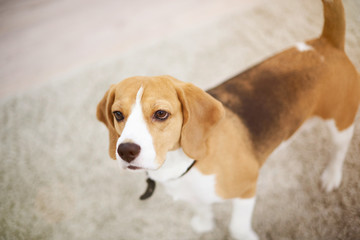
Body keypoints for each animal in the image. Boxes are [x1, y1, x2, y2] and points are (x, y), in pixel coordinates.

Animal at [97, 0, 358, 239]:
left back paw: (332, 176)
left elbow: (237, 227)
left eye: (161, 114)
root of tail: (326, 43)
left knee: (339, 151)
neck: (184, 162)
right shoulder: (194, 194)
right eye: (118, 114)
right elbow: (201, 207)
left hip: (341, 123)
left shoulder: (248, 187)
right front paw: (204, 223)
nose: (125, 151)